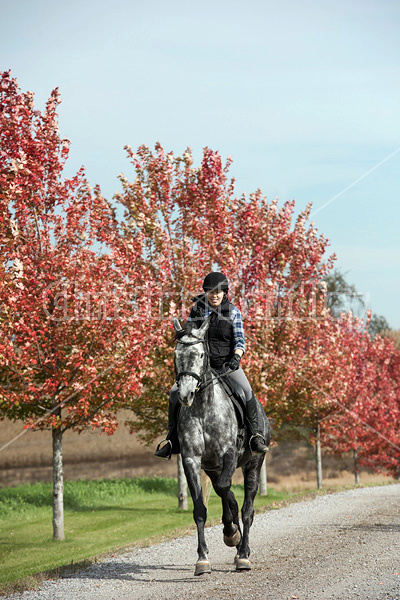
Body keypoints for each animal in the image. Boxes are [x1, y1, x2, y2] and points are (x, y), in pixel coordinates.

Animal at [173, 316, 270, 576]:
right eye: (176, 354)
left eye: (200, 354)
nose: (185, 395)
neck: (203, 408)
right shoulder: (191, 460)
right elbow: (201, 508)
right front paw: (202, 559)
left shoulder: (229, 455)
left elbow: (229, 491)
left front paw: (230, 532)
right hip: (212, 469)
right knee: (229, 496)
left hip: (253, 464)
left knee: (247, 509)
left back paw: (243, 554)